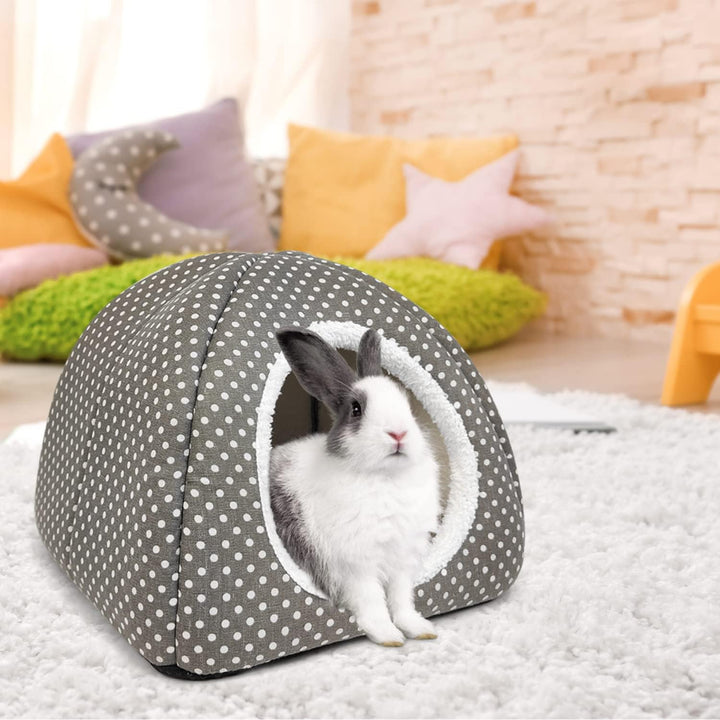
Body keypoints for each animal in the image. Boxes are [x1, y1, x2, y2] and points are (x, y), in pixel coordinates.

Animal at [270, 327, 440, 647]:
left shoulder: (401, 561)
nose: (398, 433)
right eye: (356, 410)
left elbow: (402, 599)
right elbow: (372, 600)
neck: (385, 477)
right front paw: (389, 636)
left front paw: (420, 629)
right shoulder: (355, 565)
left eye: (407, 405)